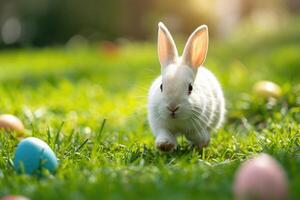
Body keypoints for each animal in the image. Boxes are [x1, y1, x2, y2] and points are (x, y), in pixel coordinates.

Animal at [148, 21, 225, 152]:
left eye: (190, 88)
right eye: (161, 86)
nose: (172, 107)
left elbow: (196, 135)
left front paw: (201, 141)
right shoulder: (160, 125)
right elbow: (164, 133)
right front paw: (164, 145)